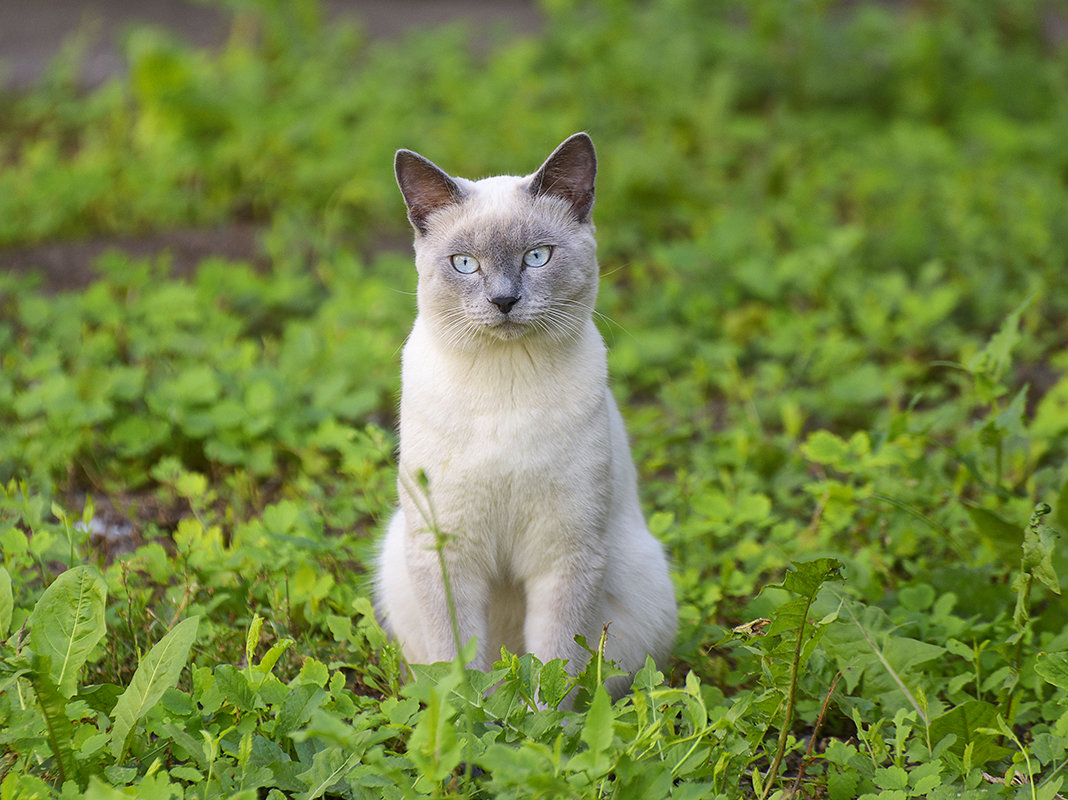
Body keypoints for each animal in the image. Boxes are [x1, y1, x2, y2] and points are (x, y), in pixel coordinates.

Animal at [375, 134, 674, 696]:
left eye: (537, 257)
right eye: (465, 264)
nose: (504, 300)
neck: (505, 385)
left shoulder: (566, 554)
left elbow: (552, 670)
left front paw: (538, 719)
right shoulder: (448, 552)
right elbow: (459, 665)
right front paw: (468, 718)